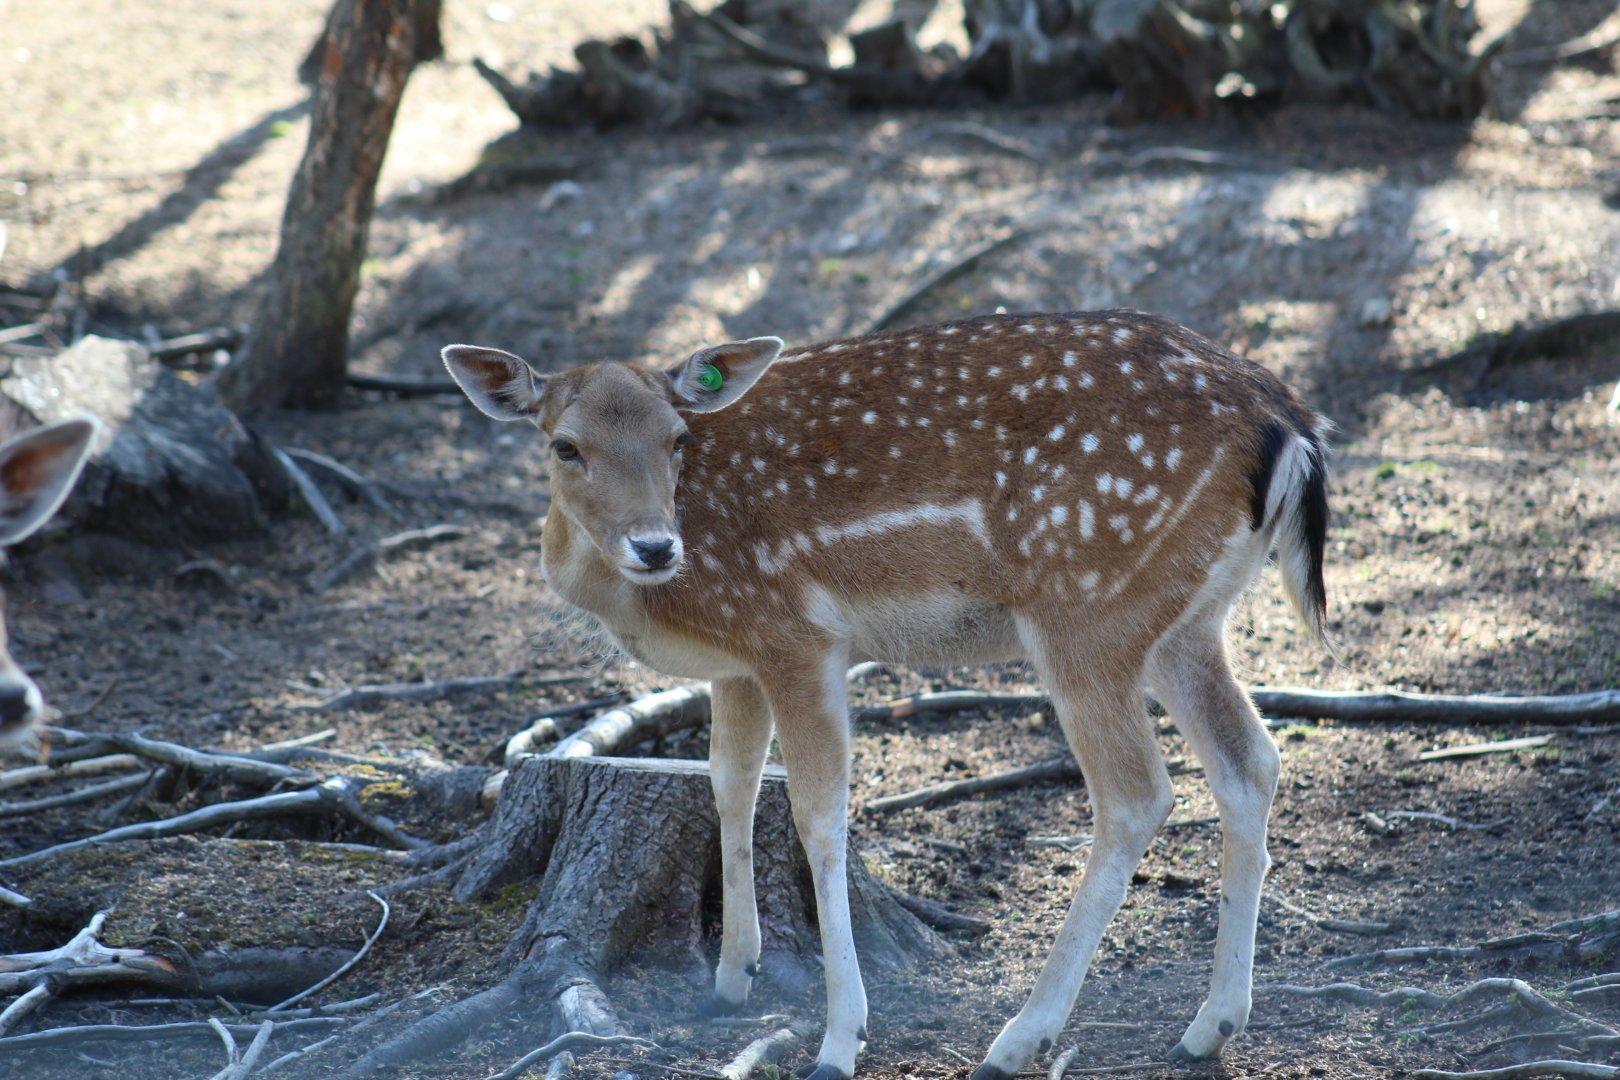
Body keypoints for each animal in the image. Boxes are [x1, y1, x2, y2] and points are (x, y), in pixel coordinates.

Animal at [443, 309, 1330, 1080]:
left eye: (678, 438)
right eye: (565, 445)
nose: (656, 545)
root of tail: (1290, 422)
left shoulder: (797, 635)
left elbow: (820, 815)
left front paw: (839, 1041)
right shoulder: (737, 662)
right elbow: (730, 783)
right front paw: (732, 976)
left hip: (1087, 604)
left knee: (1138, 795)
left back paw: (1017, 1040)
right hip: (1188, 618)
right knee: (1251, 761)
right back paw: (1210, 1026)